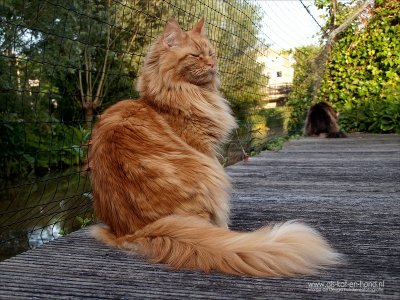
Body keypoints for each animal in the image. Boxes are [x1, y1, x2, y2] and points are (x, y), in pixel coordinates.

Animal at [89, 17, 340, 276]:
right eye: (195, 55)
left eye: (211, 54)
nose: (212, 64)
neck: (174, 97)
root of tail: (135, 231)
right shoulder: (205, 150)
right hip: (209, 174)